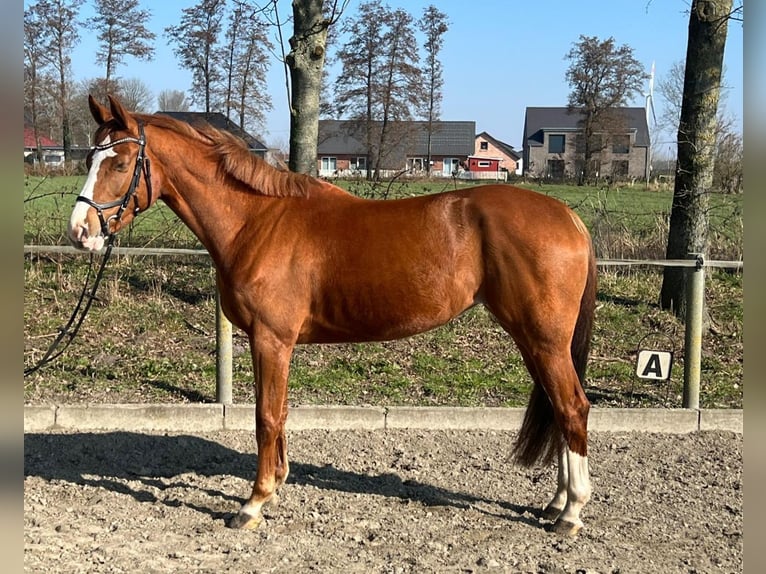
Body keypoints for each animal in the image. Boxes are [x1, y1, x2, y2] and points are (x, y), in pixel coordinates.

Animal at [68, 95, 597, 536]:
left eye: (119, 162)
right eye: (90, 159)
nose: (80, 231)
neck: (256, 220)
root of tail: (569, 217)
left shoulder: (271, 339)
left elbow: (265, 416)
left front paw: (253, 503)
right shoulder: (272, 343)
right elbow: (279, 413)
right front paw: (276, 484)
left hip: (543, 340)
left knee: (573, 407)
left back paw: (571, 513)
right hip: (535, 341)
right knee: (559, 407)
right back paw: (556, 502)